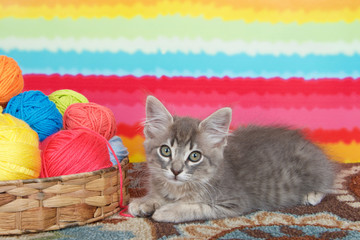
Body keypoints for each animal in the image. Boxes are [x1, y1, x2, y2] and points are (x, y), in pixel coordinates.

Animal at [129, 95, 334, 223]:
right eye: (165, 151)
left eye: (195, 156)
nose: (176, 170)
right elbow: (160, 196)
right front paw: (145, 201)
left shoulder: (234, 202)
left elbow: (197, 207)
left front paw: (168, 210)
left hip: (314, 169)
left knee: (328, 183)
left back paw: (312, 195)